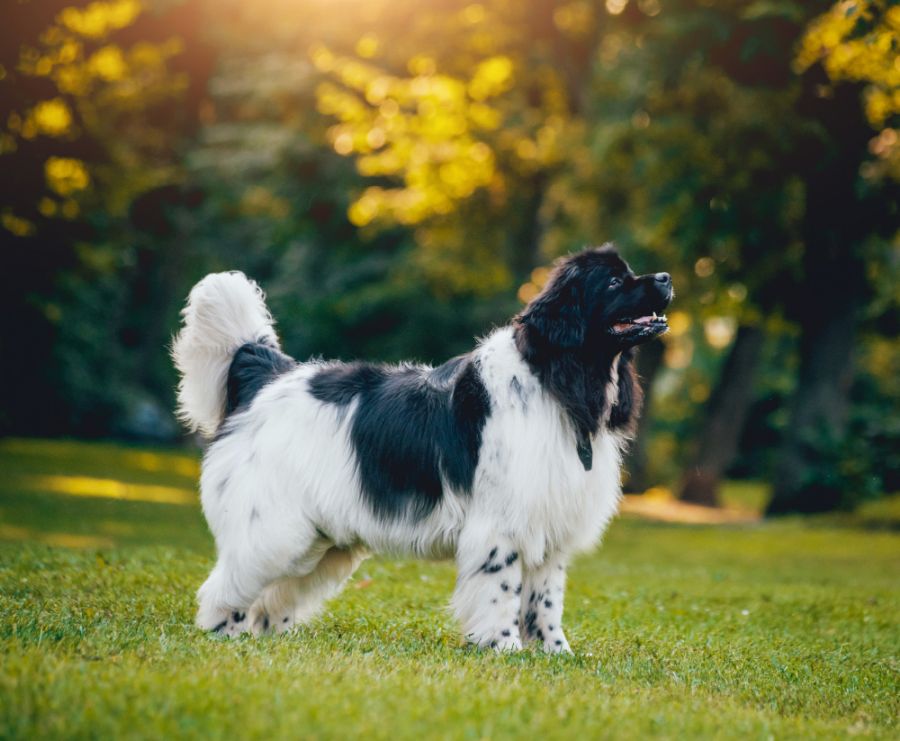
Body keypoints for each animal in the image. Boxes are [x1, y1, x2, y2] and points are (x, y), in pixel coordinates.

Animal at [172, 246, 672, 652]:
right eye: (614, 282)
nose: (666, 278)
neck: (554, 377)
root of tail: (270, 375)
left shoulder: (548, 525)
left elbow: (545, 601)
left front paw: (555, 652)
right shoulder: (501, 525)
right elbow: (503, 591)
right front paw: (504, 646)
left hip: (317, 540)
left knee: (273, 596)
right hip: (275, 529)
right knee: (227, 587)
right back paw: (224, 634)